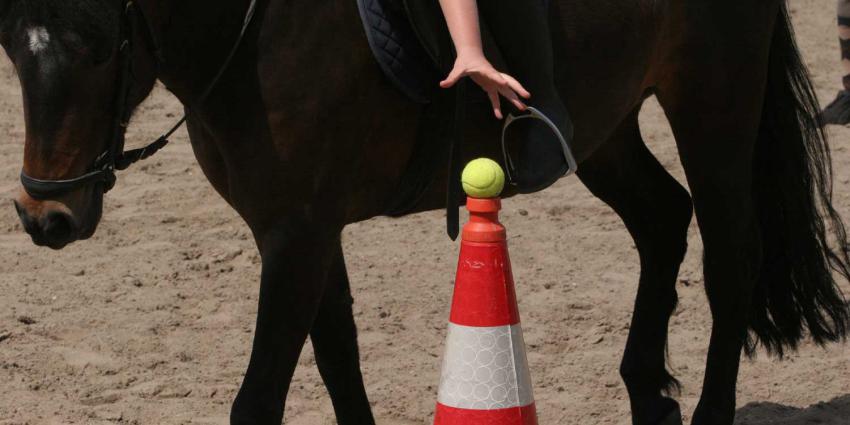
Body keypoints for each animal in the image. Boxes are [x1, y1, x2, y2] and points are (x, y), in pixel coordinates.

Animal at [2, 0, 848, 424]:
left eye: (102, 46)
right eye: (11, 45)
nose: (47, 215)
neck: (251, 35)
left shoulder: (298, 233)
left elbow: (261, 396)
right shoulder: (305, 230)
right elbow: (339, 363)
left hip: (713, 102)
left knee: (729, 255)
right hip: (602, 128)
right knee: (664, 219)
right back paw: (647, 392)